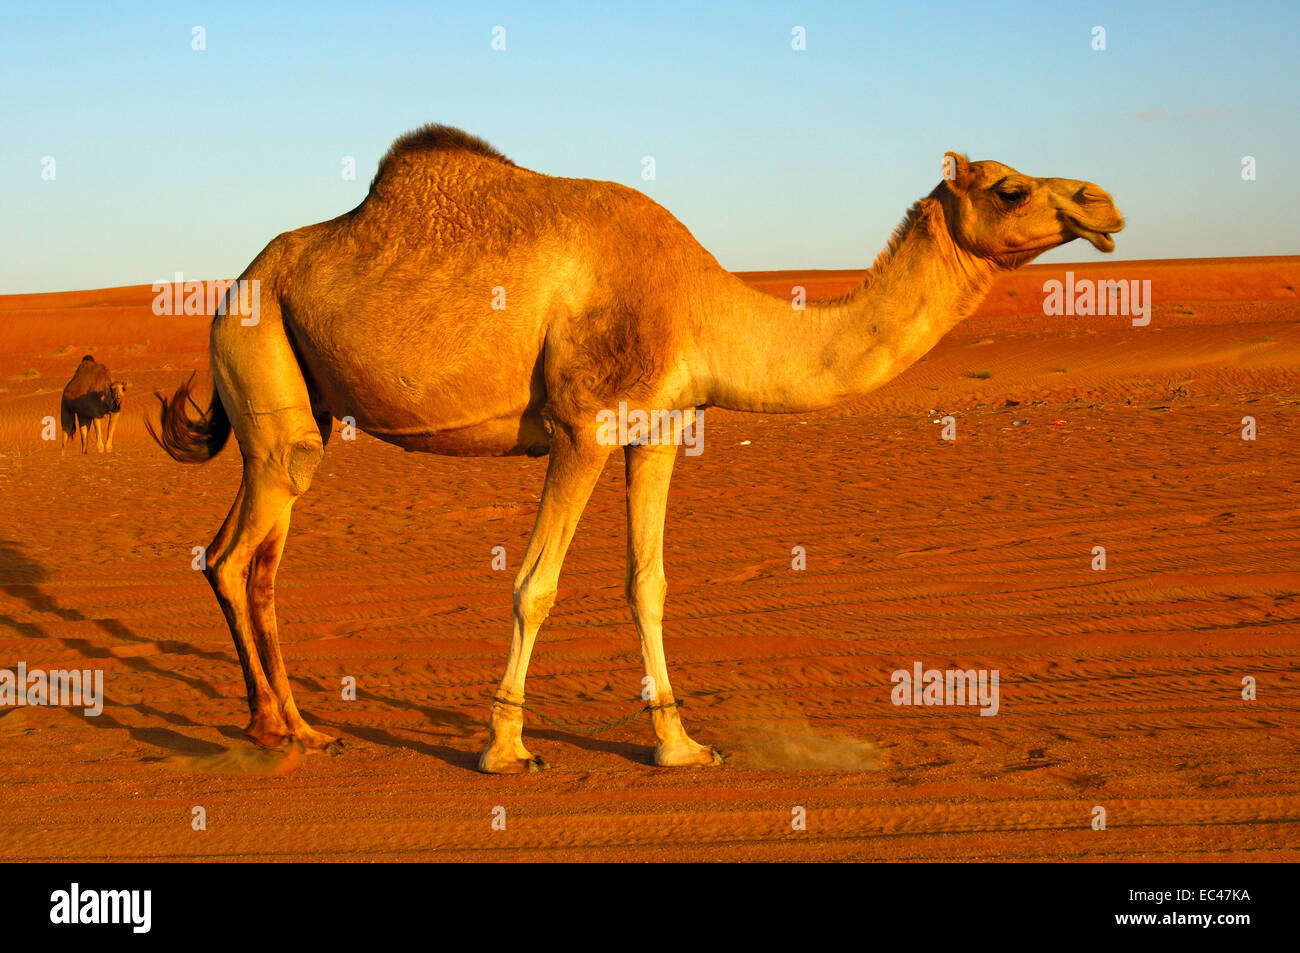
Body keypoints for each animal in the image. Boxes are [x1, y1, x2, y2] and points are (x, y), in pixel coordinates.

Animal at [150, 124, 1123, 773]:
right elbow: (535, 585)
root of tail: (236, 283)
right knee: (236, 553)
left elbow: (647, 584)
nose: (1103, 200)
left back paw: (285, 724)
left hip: (284, 407)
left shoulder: (657, 431)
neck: (703, 304)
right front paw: (507, 748)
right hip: (265, 363)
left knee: (246, 556)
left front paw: (681, 744)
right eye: (1009, 187)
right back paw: (280, 731)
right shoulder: (585, 422)